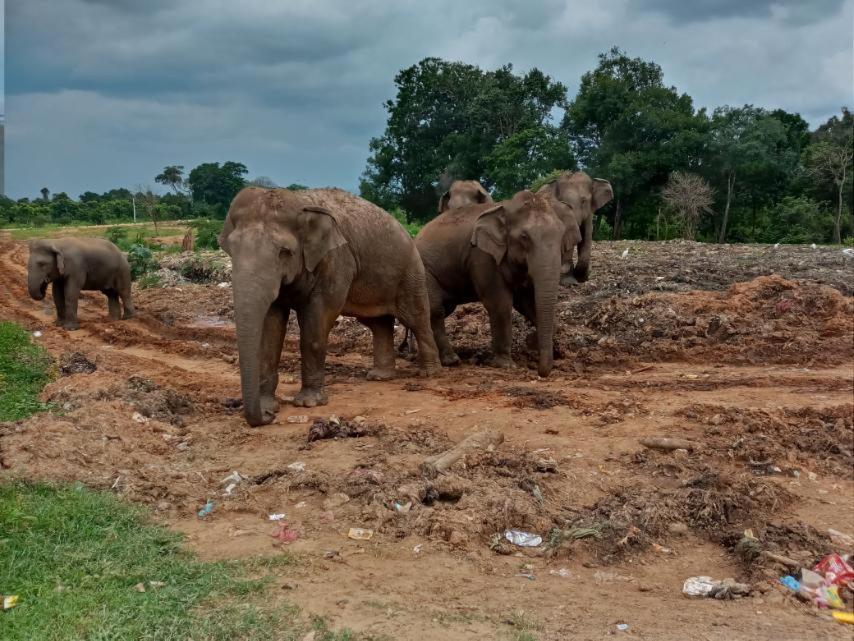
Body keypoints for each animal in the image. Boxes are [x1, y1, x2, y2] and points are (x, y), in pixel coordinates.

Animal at [217, 185, 444, 424]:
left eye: (284, 252)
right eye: (231, 250)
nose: (268, 417)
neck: (300, 203)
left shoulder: (336, 260)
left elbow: (319, 316)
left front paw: (309, 403)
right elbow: (271, 324)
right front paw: (269, 404)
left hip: (411, 273)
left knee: (416, 318)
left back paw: (429, 373)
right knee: (378, 323)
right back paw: (380, 377)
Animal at [416, 189, 576, 376]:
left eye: (561, 235)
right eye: (524, 237)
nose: (540, 372)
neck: (505, 207)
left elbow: (529, 303)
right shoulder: (482, 256)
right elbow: (500, 304)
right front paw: (506, 365)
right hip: (425, 272)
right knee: (435, 310)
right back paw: (451, 360)